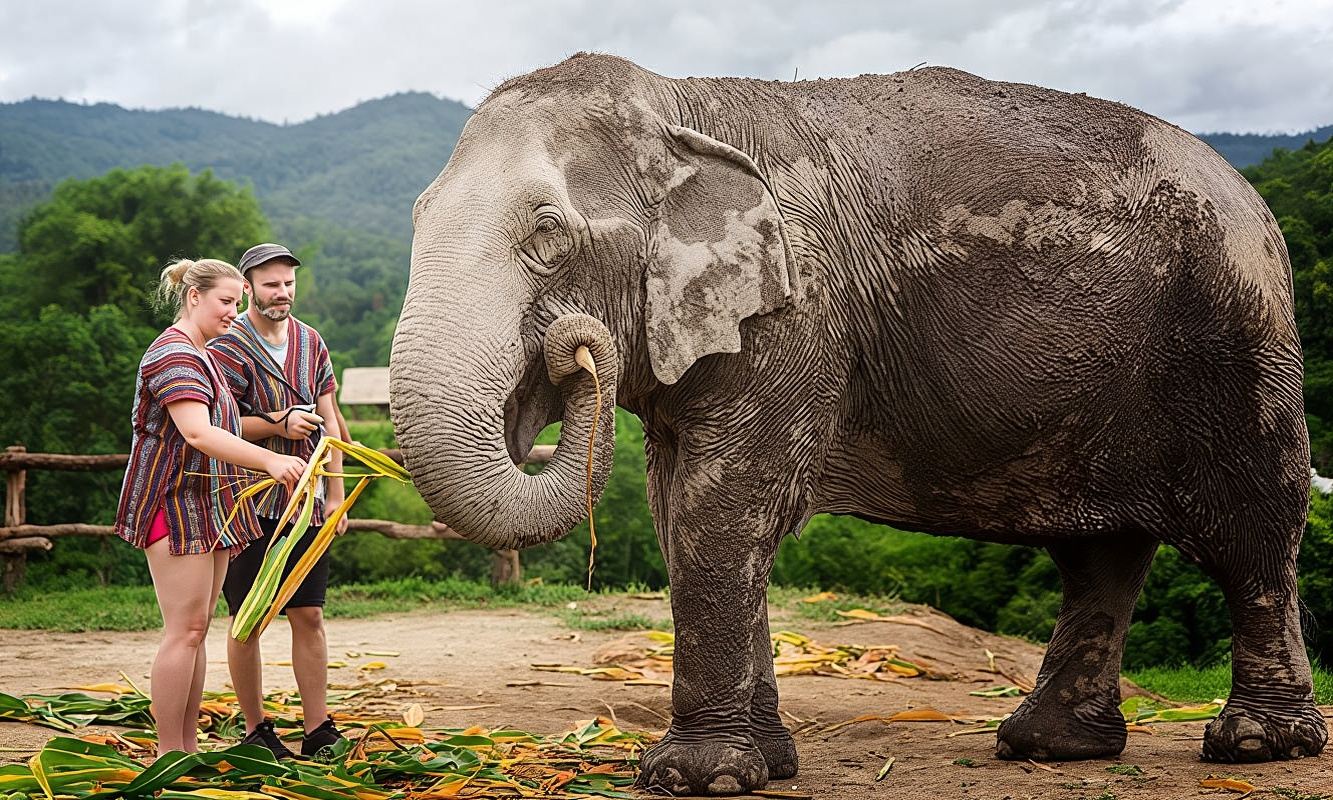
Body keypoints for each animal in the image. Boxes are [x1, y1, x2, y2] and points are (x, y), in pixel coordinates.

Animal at [389, 53, 1326, 795]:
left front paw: (696, 778)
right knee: (1101, 553)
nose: (572, 350)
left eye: (547, 235)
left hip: (1235, 335)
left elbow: (722, 505)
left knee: (1252, 530)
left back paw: (1255, 746)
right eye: (417, 216)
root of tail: (1253, 198)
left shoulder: (799, 310)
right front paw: (766, 765)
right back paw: (1049, 748)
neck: (680, 105)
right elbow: (675, 508)